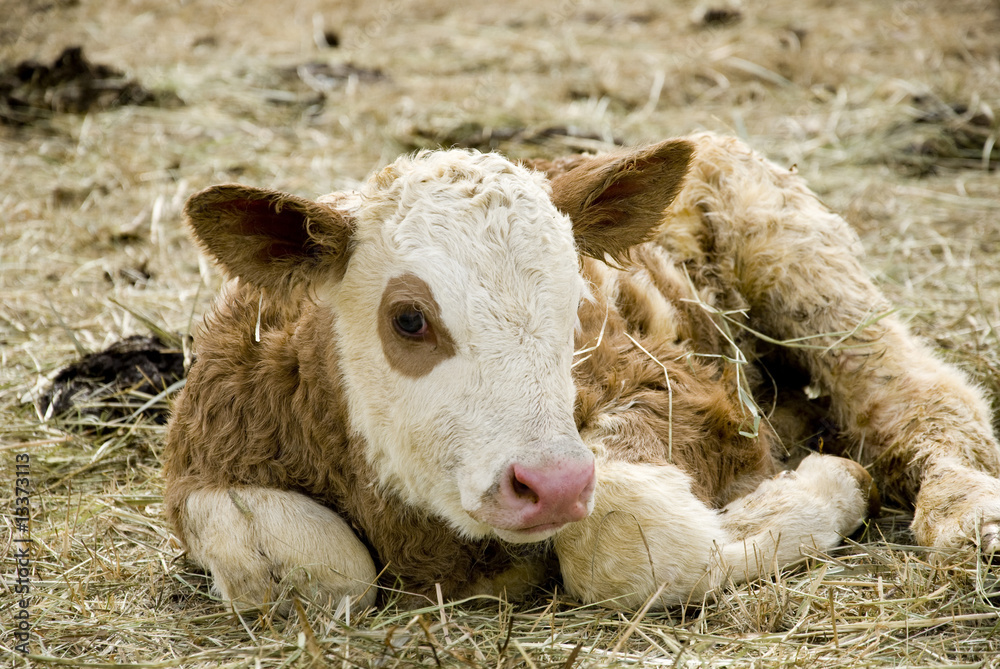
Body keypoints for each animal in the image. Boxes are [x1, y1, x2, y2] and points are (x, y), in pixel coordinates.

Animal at [164, 132, 1000, 610]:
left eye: (575, 299)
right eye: (408, 319)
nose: (555, 483)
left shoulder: (683, 395)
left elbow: (626, 540)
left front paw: (824, 487)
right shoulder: (205, 454)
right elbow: (309, 571)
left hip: (798, 254)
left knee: (918, 391)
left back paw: (968, 511)